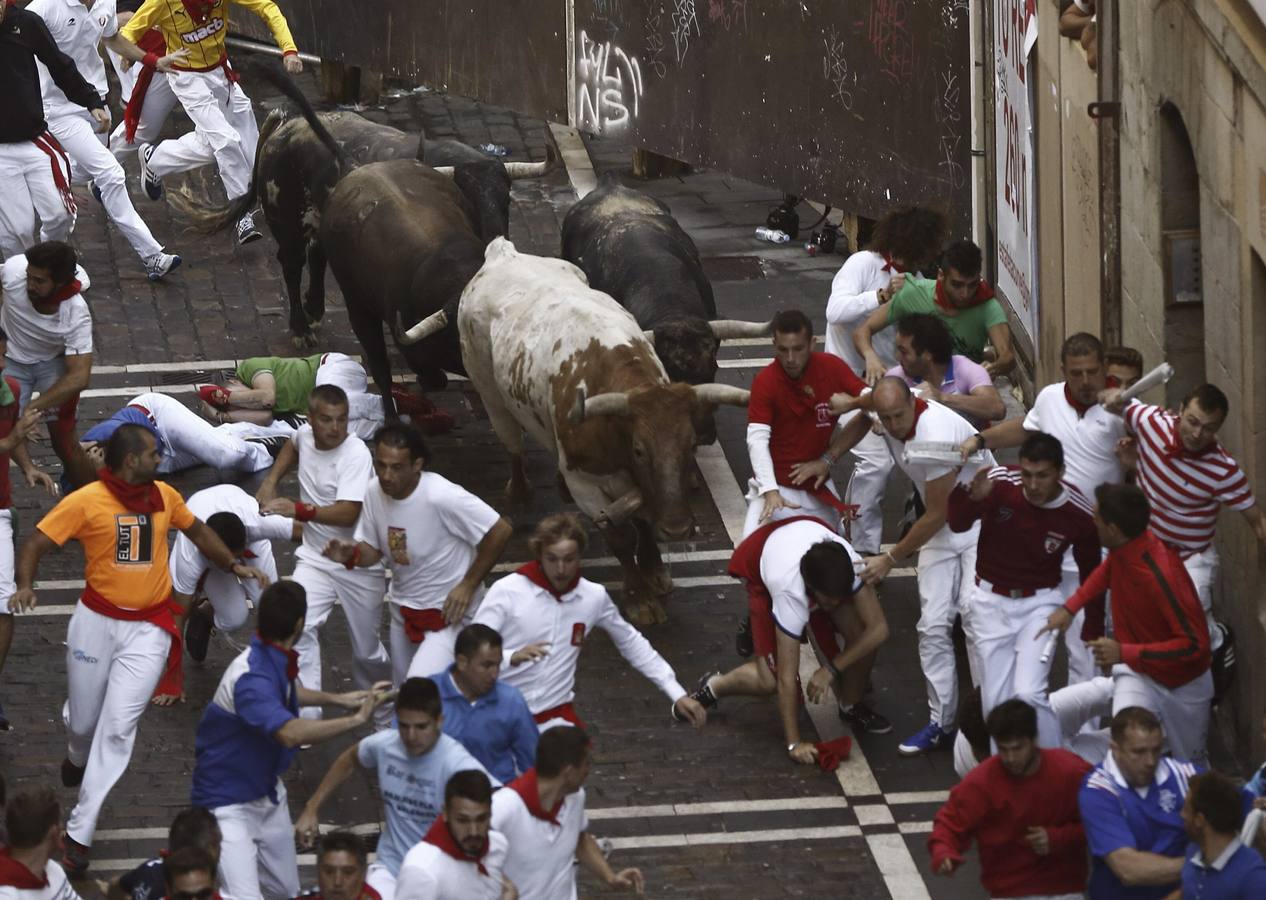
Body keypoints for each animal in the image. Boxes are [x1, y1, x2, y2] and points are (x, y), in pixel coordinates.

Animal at [458, 237, 744, 627]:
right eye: (639, 449)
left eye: (689, 446)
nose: (677, 529)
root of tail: (502, 252)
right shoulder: (588, 486)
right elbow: (620, 539)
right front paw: (639, 598)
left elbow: (642, 521)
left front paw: (654, 570)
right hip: (488, 390)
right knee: (512, 443)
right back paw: (519, 491)